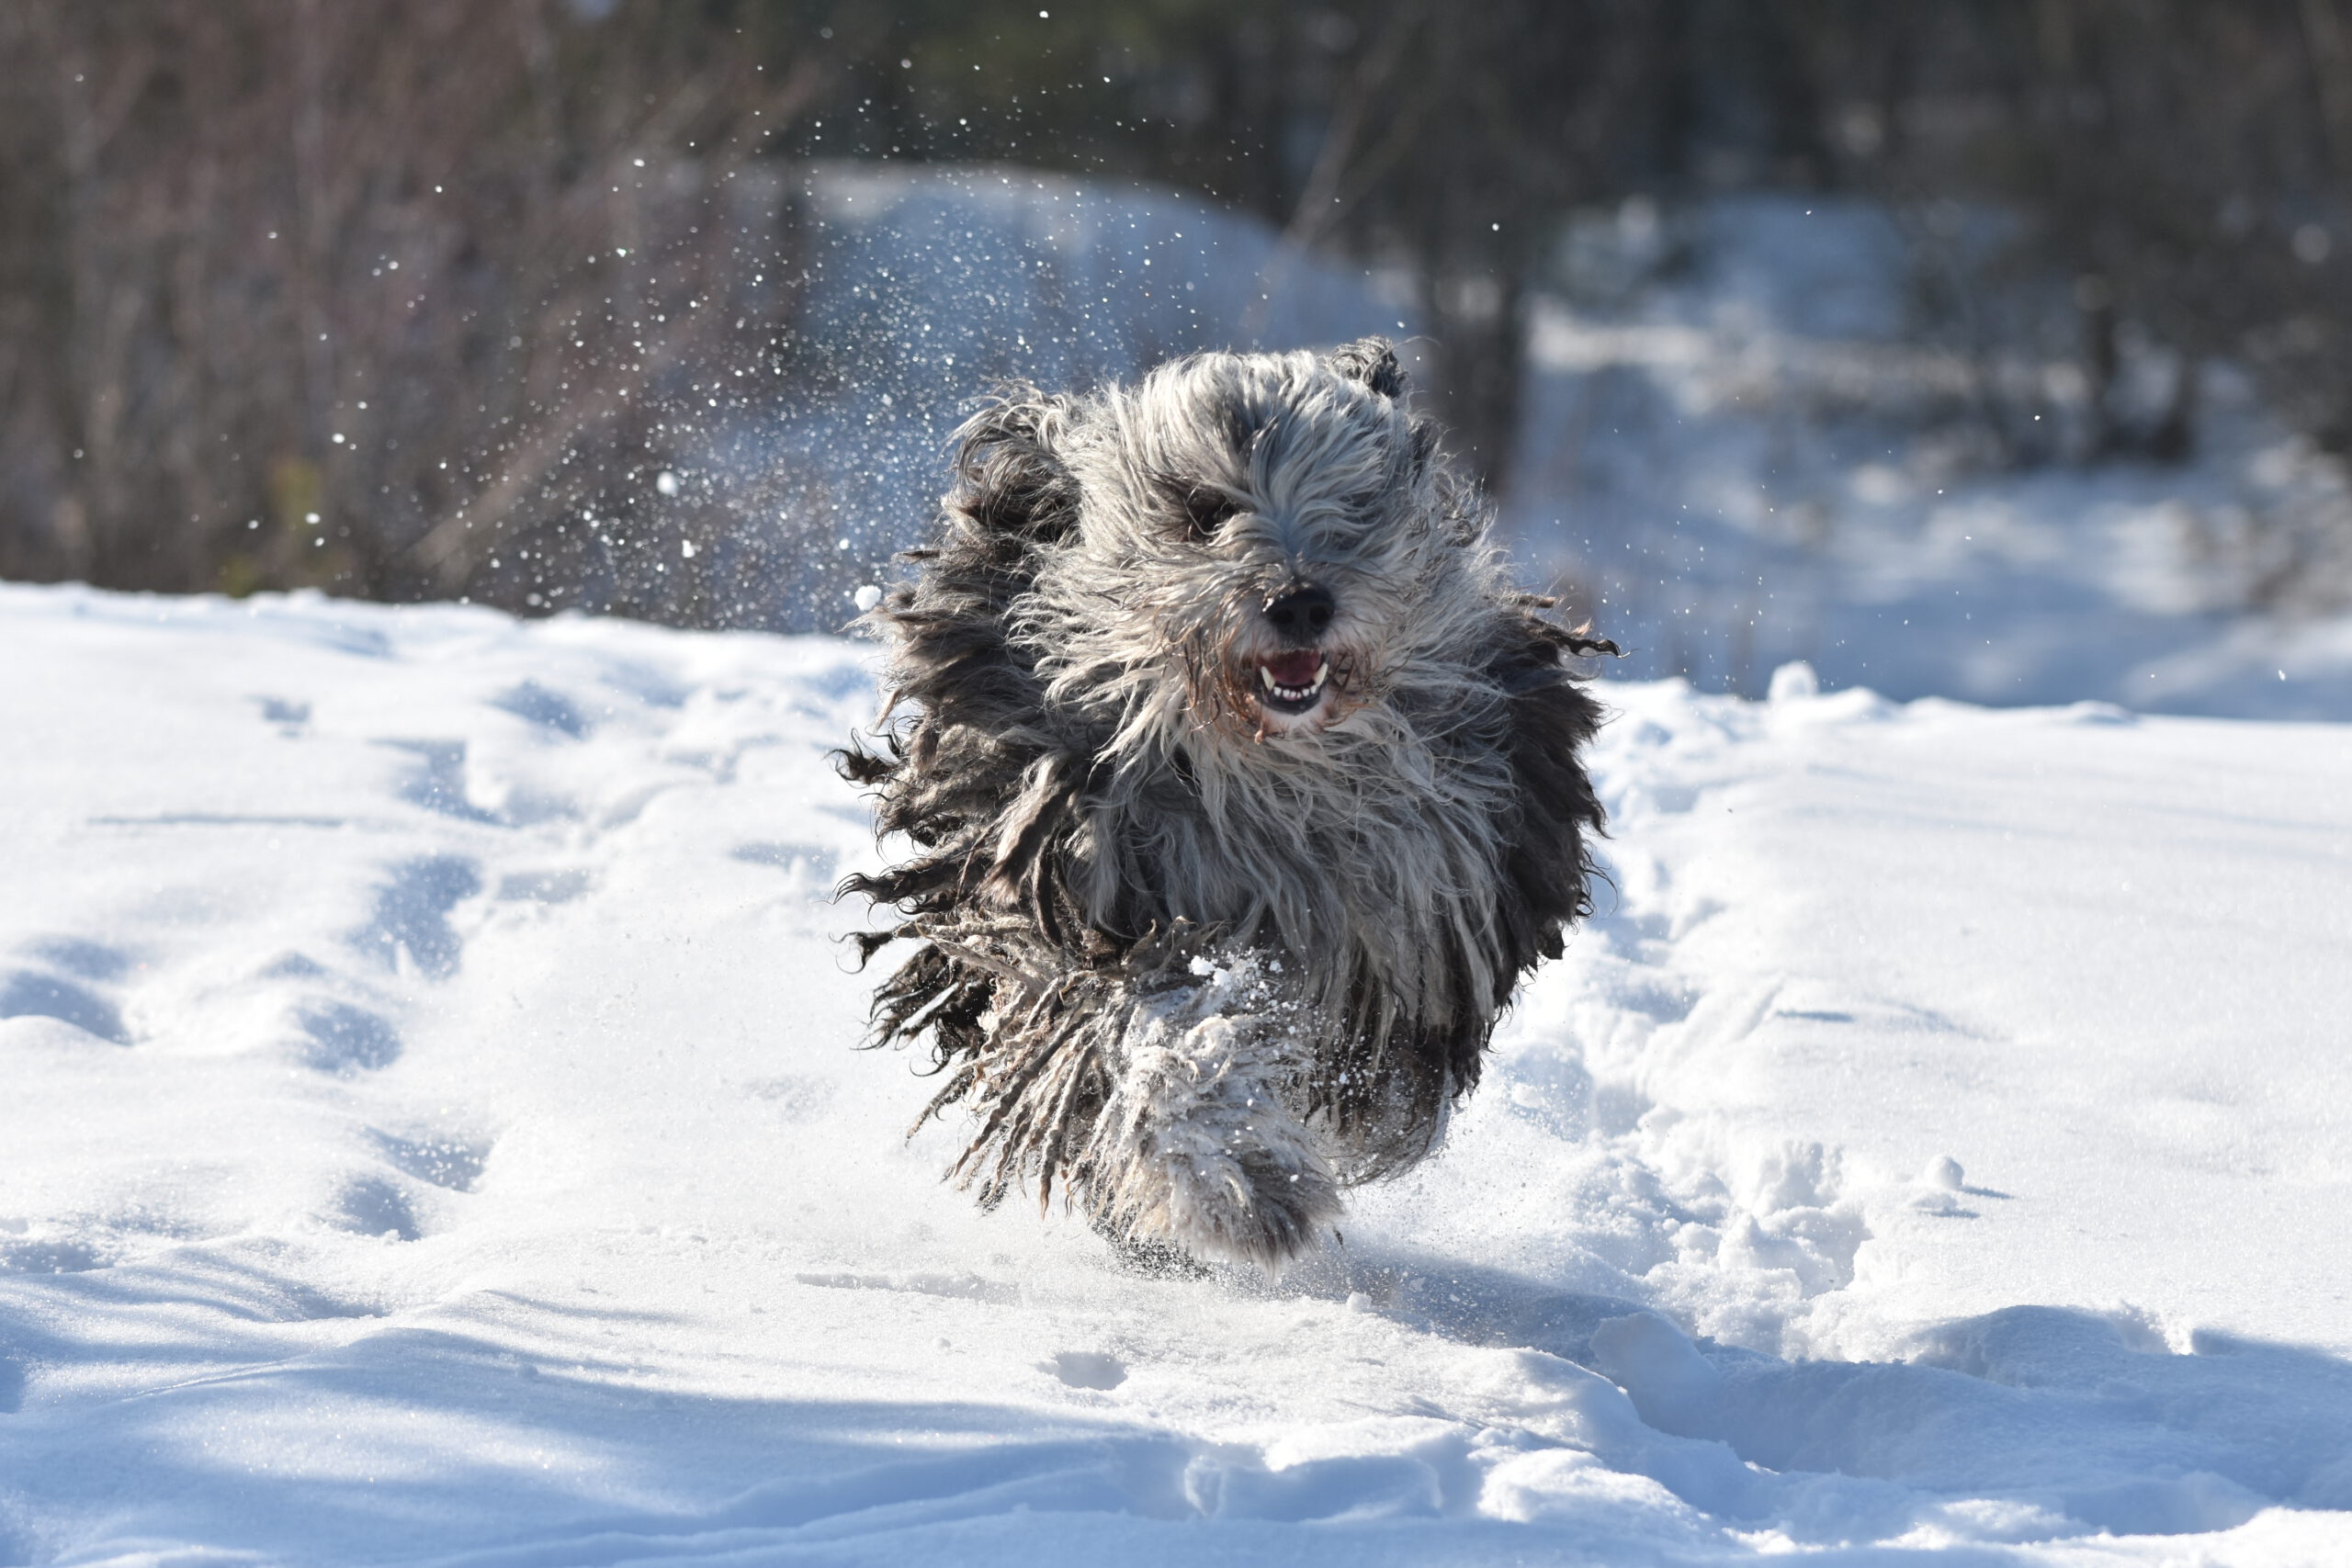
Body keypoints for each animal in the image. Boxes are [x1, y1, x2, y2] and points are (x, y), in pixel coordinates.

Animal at [837, 338, 1609, 1269]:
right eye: (1204, 509)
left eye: (1351, 499)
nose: (1299, 601)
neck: (1262, 767)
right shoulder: (1072, 894)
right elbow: (1141, 1025)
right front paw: (1243, 1177)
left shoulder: (1419, 908)